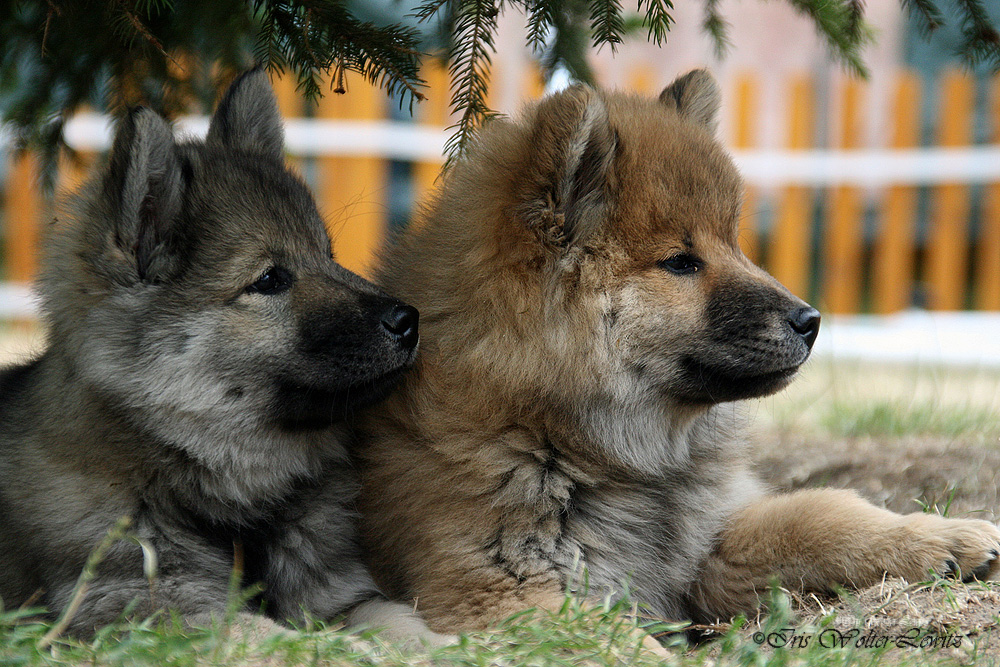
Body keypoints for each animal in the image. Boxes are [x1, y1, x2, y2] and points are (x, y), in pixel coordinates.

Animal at [0, 69, 434, 640]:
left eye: (329, 256)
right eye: (270, 279)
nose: (410, 320)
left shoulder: (338, 596)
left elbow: (394, 618)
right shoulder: (150, 605)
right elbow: (268, 633)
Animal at [352, 70, 1000, 636]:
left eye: (734, 243)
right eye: (681, 263)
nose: (811, 321)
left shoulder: (712, 539)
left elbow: (824, 514)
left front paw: (944, 536)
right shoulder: (500, 590)